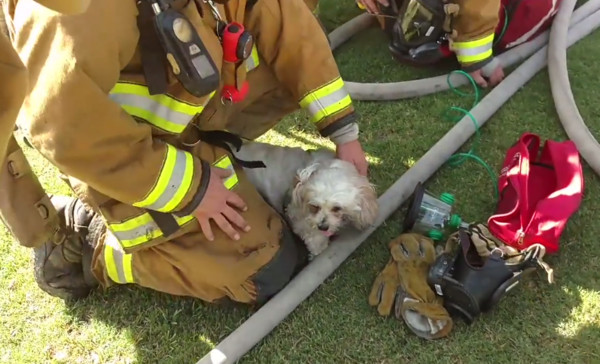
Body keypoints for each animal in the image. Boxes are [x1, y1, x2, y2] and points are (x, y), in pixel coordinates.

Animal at [232, 141, 378, 258]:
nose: (322, 226)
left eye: (337, 208)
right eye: (314, 207)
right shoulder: (299, 216)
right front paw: (318, 250)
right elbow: (313, 238)